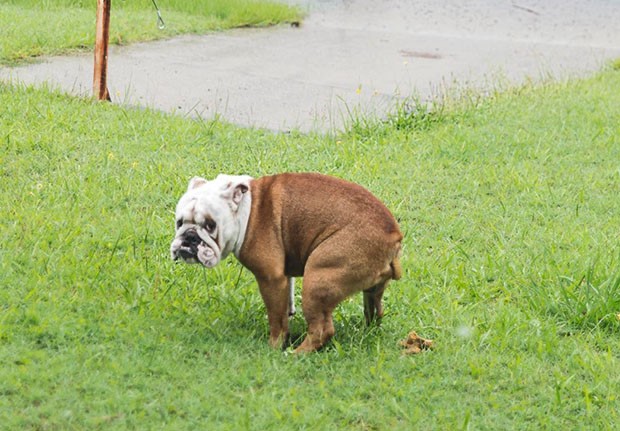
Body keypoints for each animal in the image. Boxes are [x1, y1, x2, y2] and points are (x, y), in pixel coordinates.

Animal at [170, 173, 402, 354]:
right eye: (179, 222)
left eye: (210, 225)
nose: (189, 237)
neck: (246, 210)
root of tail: (393, 236)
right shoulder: (282, 275)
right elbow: (287, 298)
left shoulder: (270, 278)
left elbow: (276, 316)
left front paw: (274, 345)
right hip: (370, 290)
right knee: (374, 310)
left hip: (318, 277)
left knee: (322, 330)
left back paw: (296, 353)